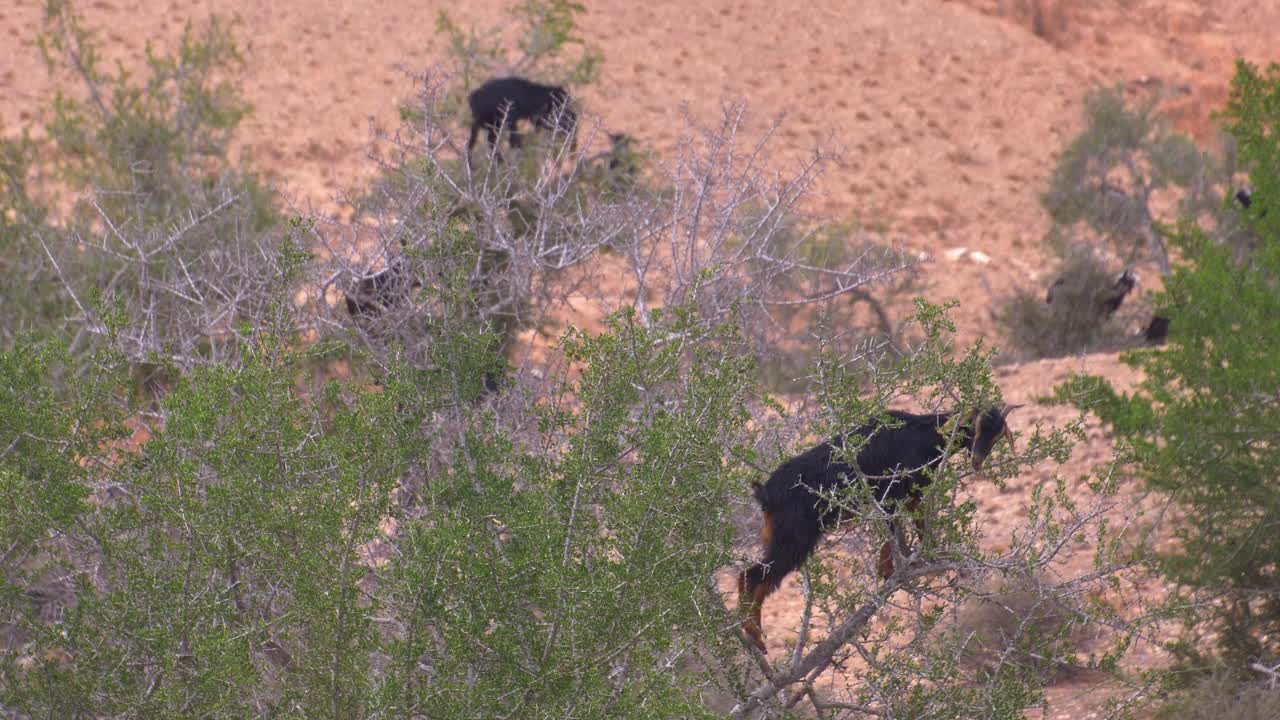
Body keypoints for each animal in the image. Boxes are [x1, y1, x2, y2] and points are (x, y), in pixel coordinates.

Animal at [737, 404, 1024, 650]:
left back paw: (755, 636)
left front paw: (917, 558)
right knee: (752, 575)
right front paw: (891, 569)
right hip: (794, 536)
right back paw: (754, 635)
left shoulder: (909, 495)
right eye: (975, 427)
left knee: (758, 579)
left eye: (998, 436)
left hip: (780, 535)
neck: (922, 434)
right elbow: (896, 531)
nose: (977, 460)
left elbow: (913, 526)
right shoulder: (891, 495)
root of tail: (765, 492)